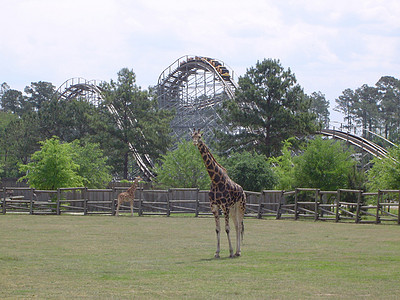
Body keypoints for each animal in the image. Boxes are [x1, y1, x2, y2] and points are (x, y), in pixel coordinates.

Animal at [191, 129, 245, 258]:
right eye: (192, 136)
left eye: (199, 137)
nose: (195, 142)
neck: (215, 180)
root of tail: (242, 190)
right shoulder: (214, 206)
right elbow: (217, 229)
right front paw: (217, 252)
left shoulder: (224, 206)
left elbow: (227, 228)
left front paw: (230, 252)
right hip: (233, 208)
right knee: (237, 226)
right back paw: (237, 251)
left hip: (240, 206)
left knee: (240, 226)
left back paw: (238, 252)